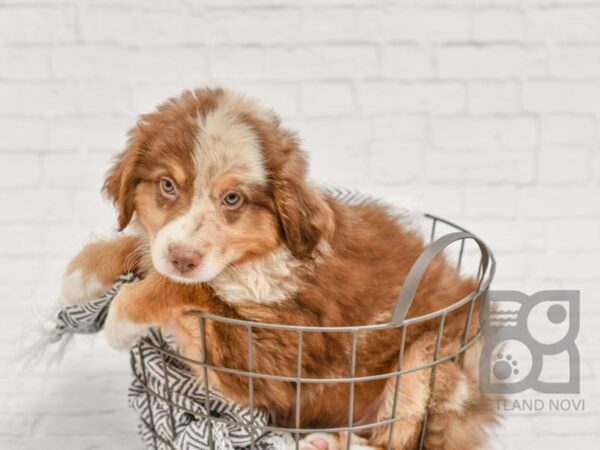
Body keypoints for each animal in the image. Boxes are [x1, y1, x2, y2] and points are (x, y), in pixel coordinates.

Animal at [62, 89, 492, 450]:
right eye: (167, 185)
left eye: (232, 198)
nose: (183, 258)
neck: (251, 262)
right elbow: (144, 248)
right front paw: (82, 272)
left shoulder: (275, 361)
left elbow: (192, 288)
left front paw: (122, 315)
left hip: (429, 358)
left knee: (397, 439)